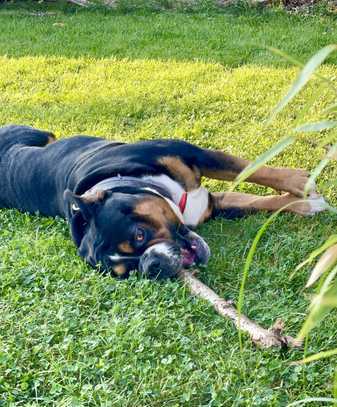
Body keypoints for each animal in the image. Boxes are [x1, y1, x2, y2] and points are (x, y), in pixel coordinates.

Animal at [0, 126, 326, 278]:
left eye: (138, 235)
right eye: (130, 272)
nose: (152, 266)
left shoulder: (196, 154)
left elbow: (252, 169)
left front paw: (300, 183)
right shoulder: (216, 204)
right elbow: (258, 201)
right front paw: (306, 203)